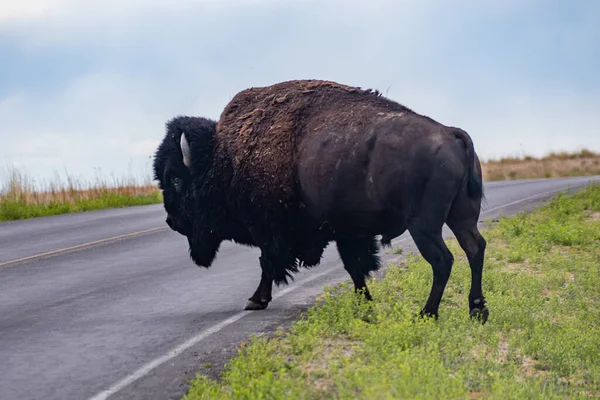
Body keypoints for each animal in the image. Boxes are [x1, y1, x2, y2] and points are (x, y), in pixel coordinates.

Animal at [152, 79, 490, 324]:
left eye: (176, 179)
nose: (172, 220)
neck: (224, 157)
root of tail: (452, 134)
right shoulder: (348, 233)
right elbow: (355, 267)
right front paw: (364, 305)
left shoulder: (269, 230)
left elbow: (268, 263)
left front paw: (255, 300)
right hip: (460, 217)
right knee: (474, 248)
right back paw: (477, 310)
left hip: (424, 226)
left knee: (443, 260)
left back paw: (427, 314)